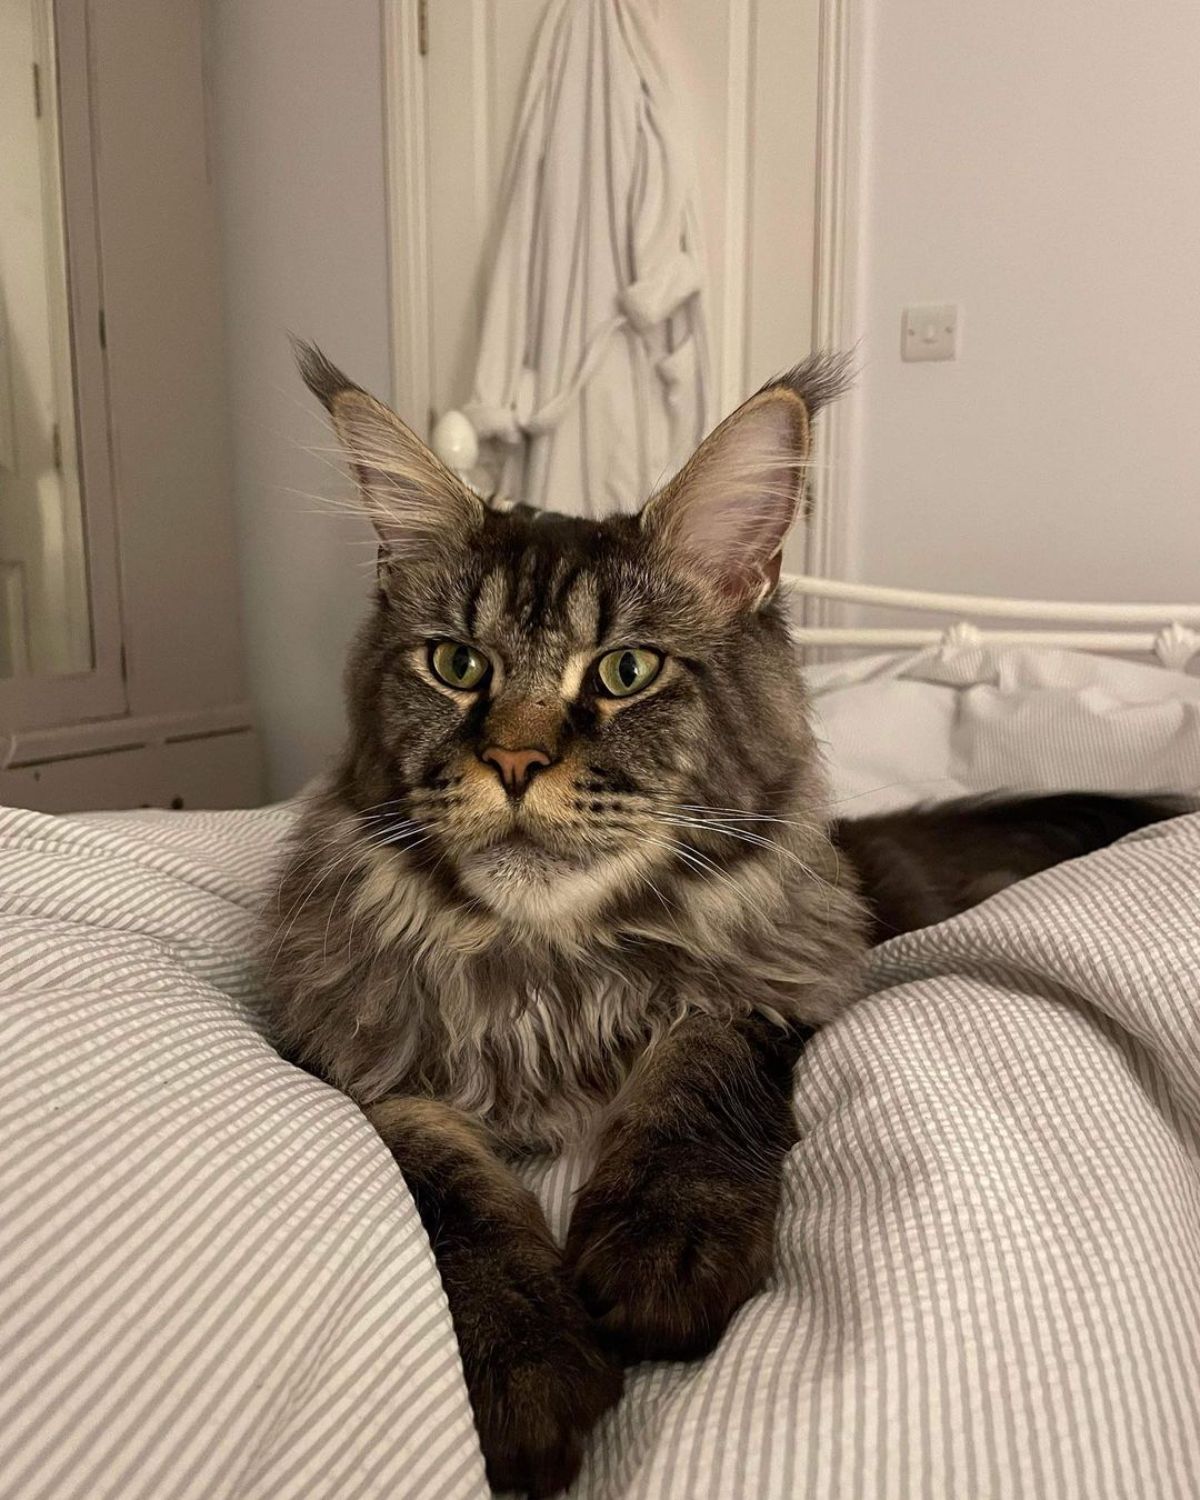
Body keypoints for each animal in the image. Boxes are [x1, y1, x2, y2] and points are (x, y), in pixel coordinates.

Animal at [267, 348, 1176, 1488]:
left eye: (626, 670)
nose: (513, 762)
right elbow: (444, 1183)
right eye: (457, 665)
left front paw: (661, 1252)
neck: (553, 971)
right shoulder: (357, 1062)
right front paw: (525, 1358)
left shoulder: (780, 995)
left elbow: (695, 1069)